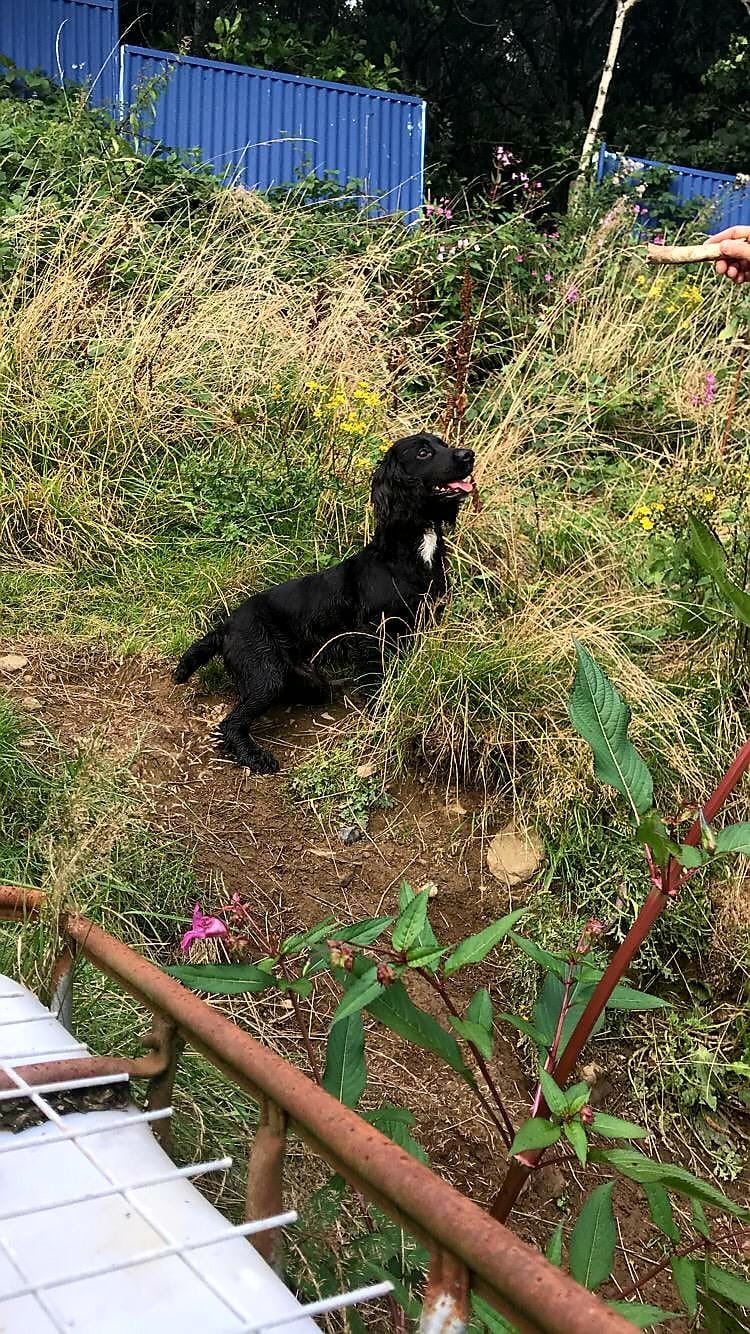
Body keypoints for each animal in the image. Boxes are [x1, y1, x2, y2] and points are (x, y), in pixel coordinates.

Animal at [173, 434, 472, 773]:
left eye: (443, 444)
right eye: (423, 452)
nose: (469, 455)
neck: (410, 553)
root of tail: (225, 627)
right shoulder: (376, 635)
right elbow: (378, 682)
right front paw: (381, 716)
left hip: (308, 682)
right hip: (266, 676)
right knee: (231, 723)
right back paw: (255, 757)